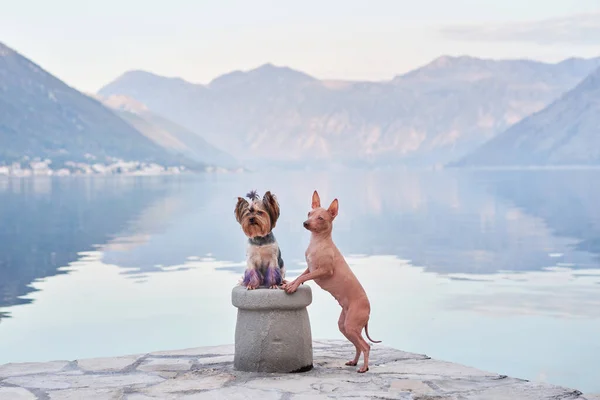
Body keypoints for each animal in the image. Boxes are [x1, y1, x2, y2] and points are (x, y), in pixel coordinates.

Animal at [282, 191, 380, 372]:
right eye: (309, 213)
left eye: (320, 218)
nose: (305, 223)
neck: (318, 242)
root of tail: (368, 309)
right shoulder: (310, 268)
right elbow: (301, 275)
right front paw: (290, 282)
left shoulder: (323, 271)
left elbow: (303, 277)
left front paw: (293, 286)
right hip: (345, 326)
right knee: (358, 345)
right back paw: (354, 362)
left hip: (352, 325)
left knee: (366, 346)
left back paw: (364, 368)